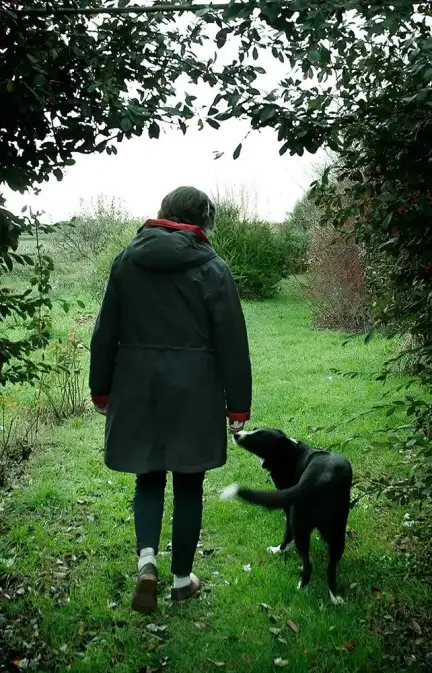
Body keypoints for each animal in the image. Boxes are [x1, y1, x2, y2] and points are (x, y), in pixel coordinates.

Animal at [221, 428, 352, 600]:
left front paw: (279, 550)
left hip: (299, 523)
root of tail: (318, 480)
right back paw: (335, 597)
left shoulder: (288, 510)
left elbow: (286, 535)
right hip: (337, 529)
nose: (235, 434)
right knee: (331, 568)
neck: (289, 453)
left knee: (308, 564)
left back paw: (301, 588)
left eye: (259, 436)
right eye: (254, 429)